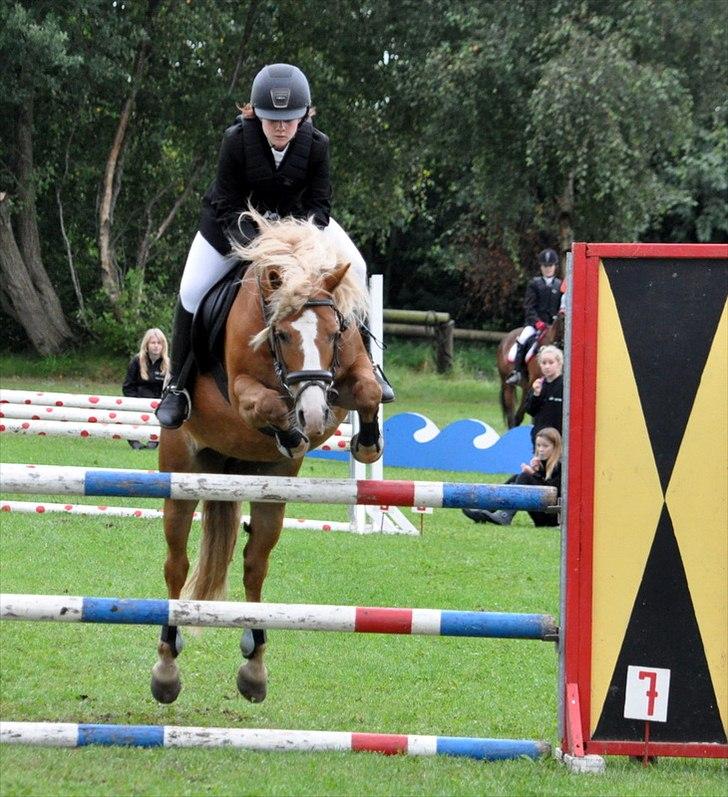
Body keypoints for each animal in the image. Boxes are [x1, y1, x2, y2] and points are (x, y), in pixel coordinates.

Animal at [151, 211, 384, 704]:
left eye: (336, 332)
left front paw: (366, 441)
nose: (313, 414)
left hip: (269, 494)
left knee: (254, 565)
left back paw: (254, 663)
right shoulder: (243, 394)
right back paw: (166, 666)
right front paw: (291, 431)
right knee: (176, 566)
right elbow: (268, 406)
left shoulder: (348, 372)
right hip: (179, 477)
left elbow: (369, 389)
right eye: (280, 333)